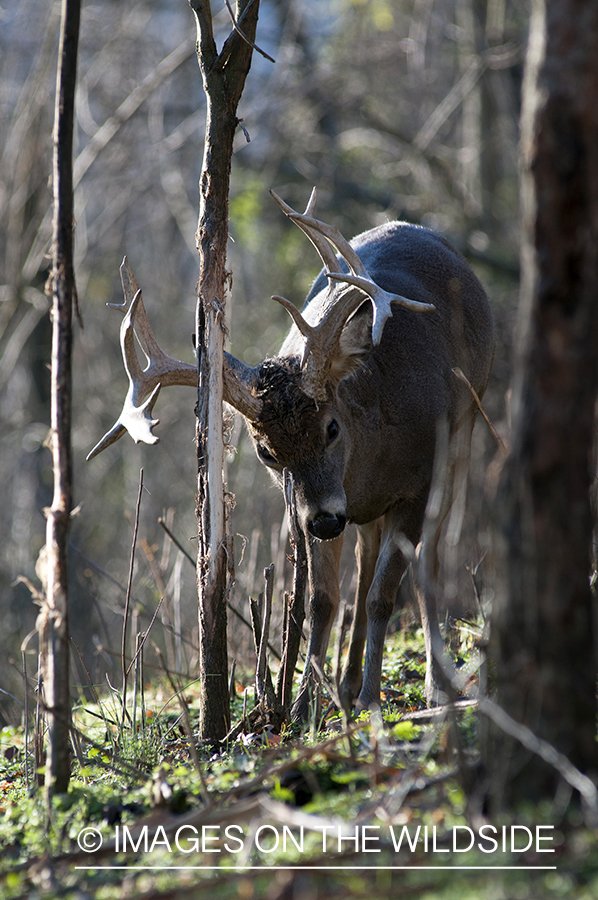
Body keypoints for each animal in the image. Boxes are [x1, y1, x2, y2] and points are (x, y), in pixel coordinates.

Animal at [88, 188, 496, 716]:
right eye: (266, 453)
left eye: (332, 427)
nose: (324, 521)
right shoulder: (304, 508)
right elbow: (323, 598)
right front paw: (304, 706)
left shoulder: (418, 482)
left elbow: (384, 594)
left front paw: (370, 699)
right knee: (364, 555)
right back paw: (346, 681)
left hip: (465, 429)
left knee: (429, 563)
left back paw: (432, 685)